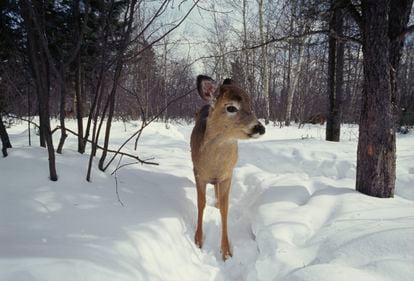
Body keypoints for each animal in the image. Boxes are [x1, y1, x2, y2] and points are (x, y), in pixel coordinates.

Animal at [191, 74, 266, 258]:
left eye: (251, 105)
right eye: (231, 107)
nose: (260, 127)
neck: (214, 164)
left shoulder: (227, 175)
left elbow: (225, 209)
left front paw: (226, 252)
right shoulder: (198, 173)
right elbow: (201, 203)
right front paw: (198, 240)